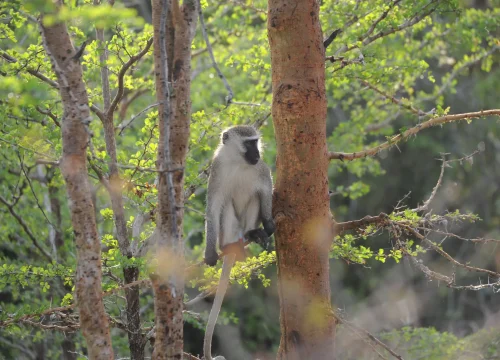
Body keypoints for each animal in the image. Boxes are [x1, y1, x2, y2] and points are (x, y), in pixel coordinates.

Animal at [203, 126, 276, 360]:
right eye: (248, 143)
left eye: (255, 142)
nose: (257, 153)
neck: (238, 162)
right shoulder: (217, 169)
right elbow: (214, 207)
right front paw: (209, 252)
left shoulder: (260, 169)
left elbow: (265, 188)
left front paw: (268, 223)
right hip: (231, 229)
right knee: (225, 206)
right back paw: (226, 247)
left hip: (246, 222)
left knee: (255, 198)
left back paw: (254, 233)